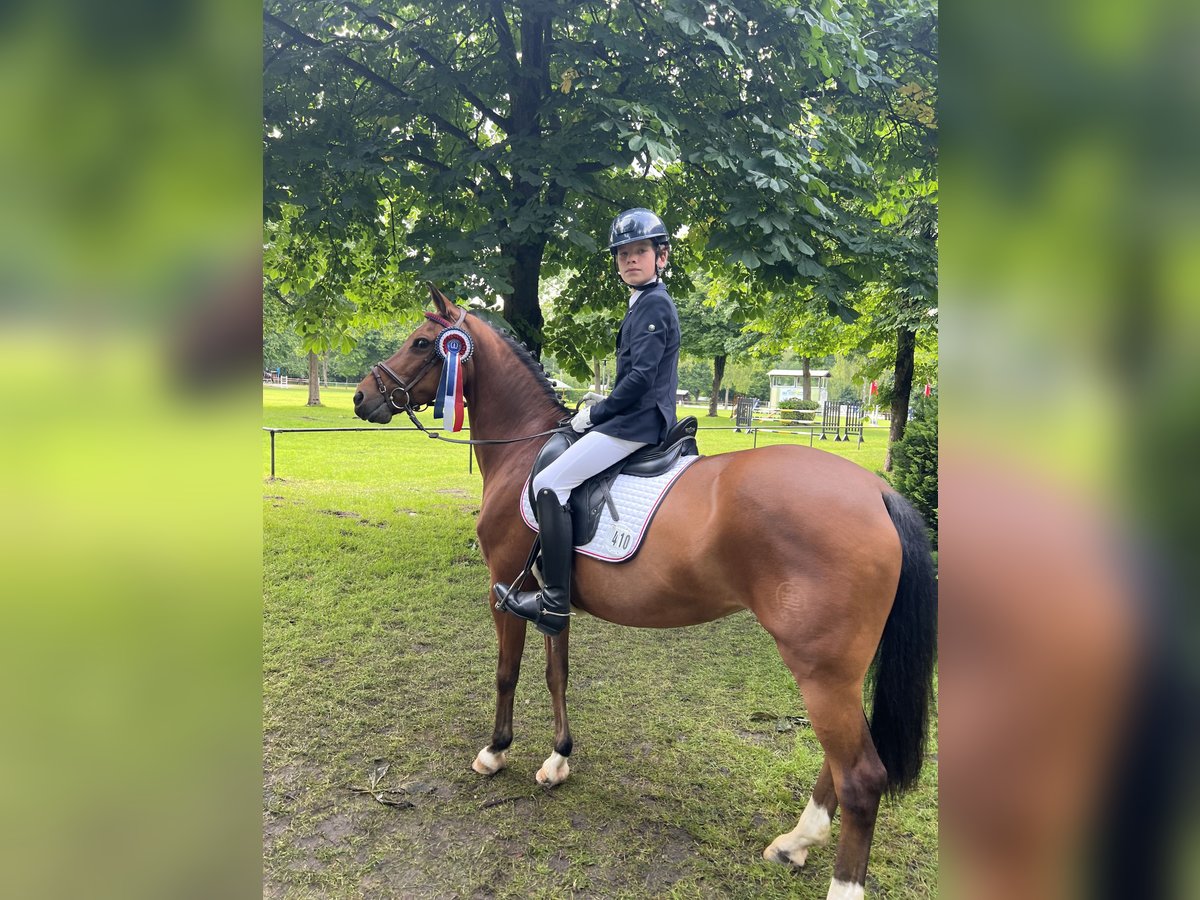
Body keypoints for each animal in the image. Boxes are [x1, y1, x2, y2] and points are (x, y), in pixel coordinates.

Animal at [353, 286, 937, 900]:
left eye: (424, 342)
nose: (362, 396)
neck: (524, 451)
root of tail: (876, 493)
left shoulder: (506, 588)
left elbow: (506, 673)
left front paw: (495, 752)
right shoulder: (552, 600)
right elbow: (556, 673)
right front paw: (558, 761)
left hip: (820, 668)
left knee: (862, 777)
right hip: (837, 672)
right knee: (840, 761)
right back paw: (794, 844)